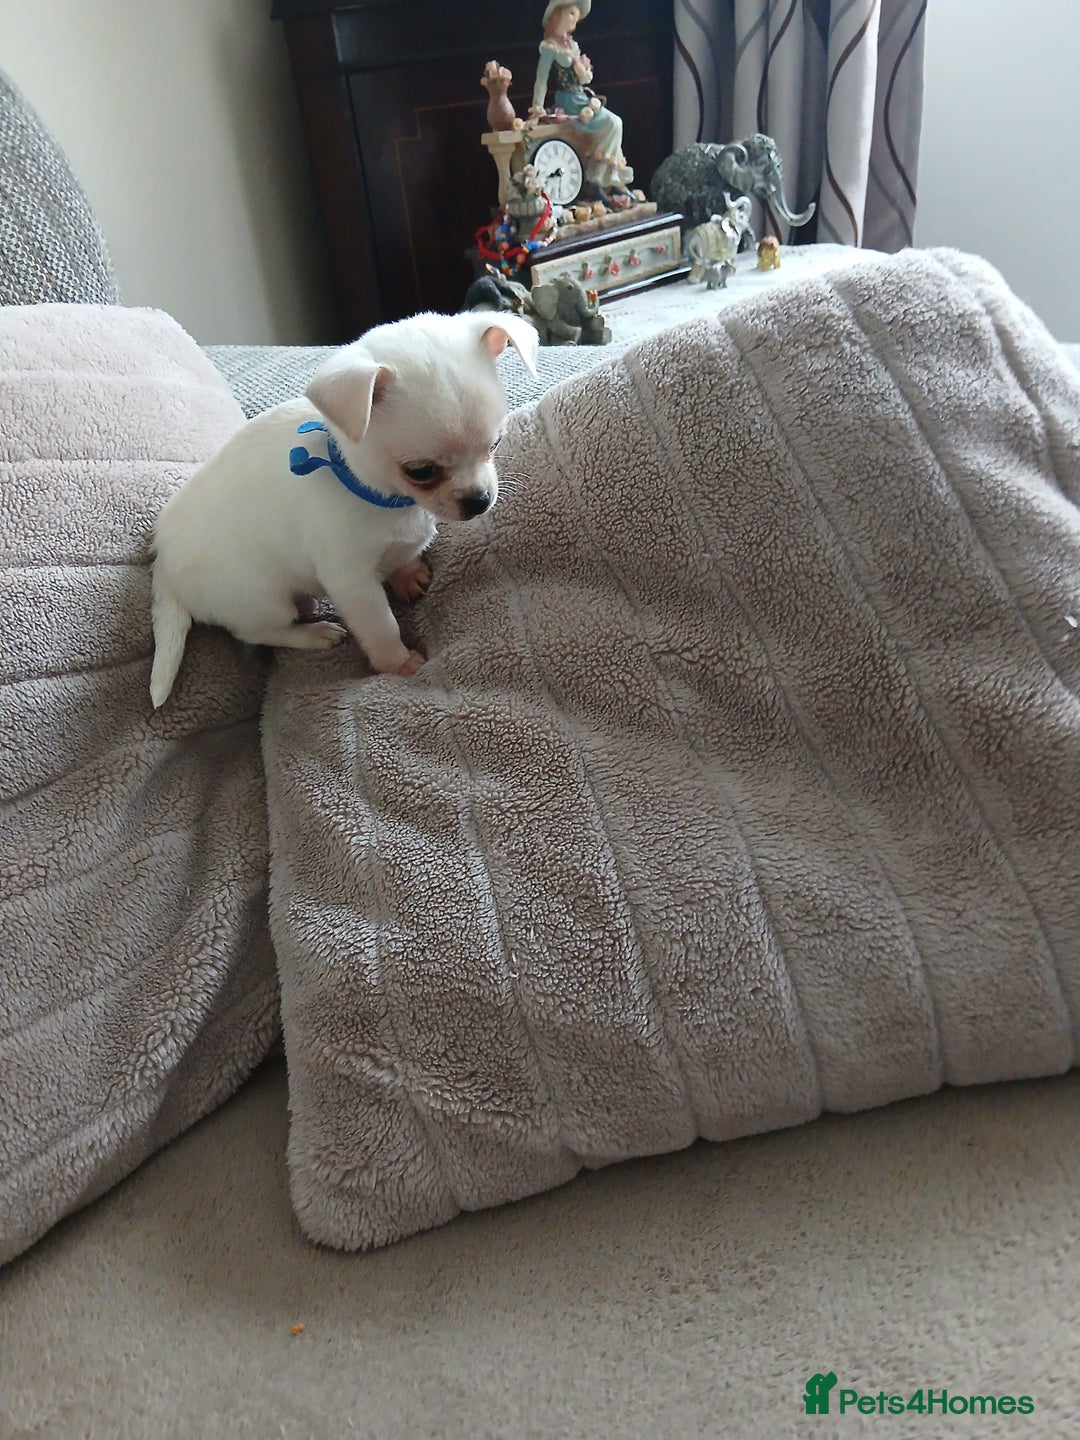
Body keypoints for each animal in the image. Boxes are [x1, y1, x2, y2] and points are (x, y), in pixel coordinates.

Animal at [149, 310, 538, 707]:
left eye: (496, 443)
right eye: (421, 471)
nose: (479, 500)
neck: (387, 498)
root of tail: (163, 561)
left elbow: (403, 556)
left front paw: (408, 573)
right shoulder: (353, 583)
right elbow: (382, 625)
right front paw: (398, 664)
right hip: (260, 599)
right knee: (255, 631)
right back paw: (313, 633)